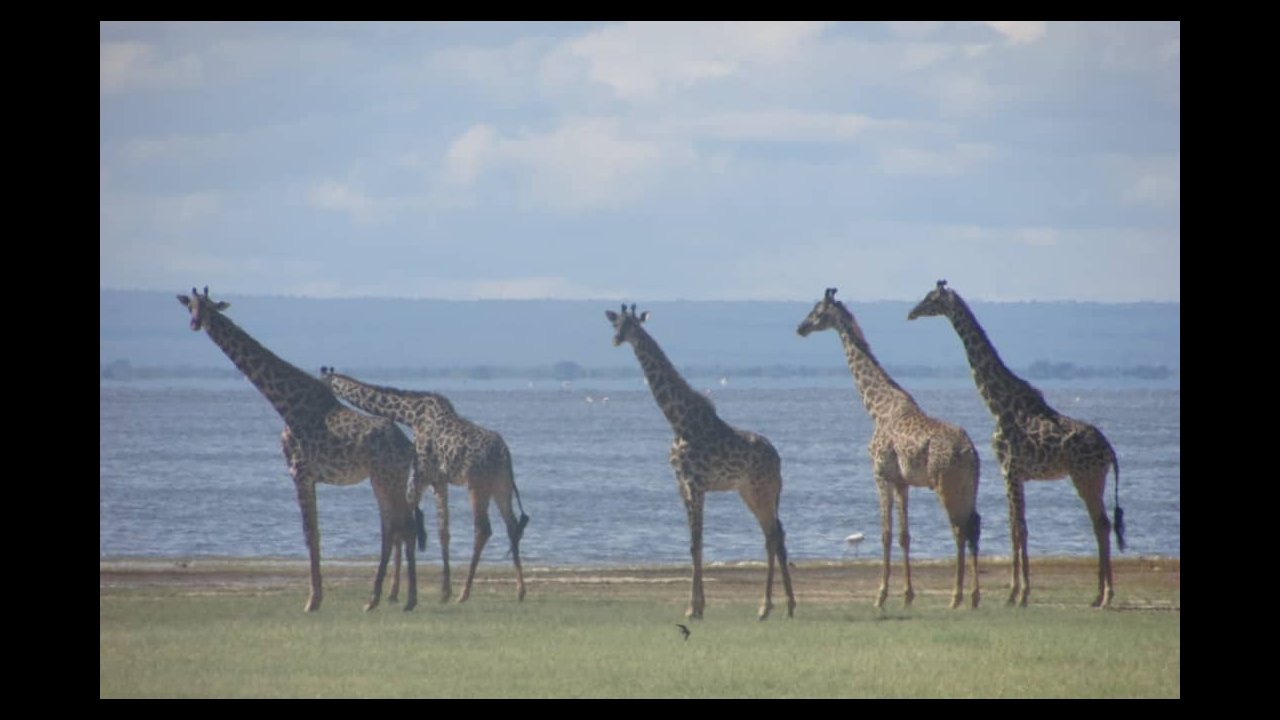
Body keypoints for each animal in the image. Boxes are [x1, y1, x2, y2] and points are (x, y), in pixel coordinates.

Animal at [177, 287, 421, 613]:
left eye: (208, 307)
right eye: (190, 306)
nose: (194, 323)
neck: (285, 403)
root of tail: (409, 447)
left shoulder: (299, 471)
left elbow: (309, 534)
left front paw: (312, 600)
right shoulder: (308, 476)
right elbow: (314, 533)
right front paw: (316, 597)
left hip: (387, 478)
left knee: (402, 526)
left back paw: (401, 599)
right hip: (382, 479)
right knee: (393, 527)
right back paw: (380, 599)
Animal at [319, 368, 528, 604]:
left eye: (323, 382)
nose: (326, 410)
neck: (411, 416)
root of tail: (504, 453)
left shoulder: (421, 476)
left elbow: (403, 526)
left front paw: (394, 592)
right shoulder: (439, 480)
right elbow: (443, 531)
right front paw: (444, 591)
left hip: (477, 484)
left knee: (483, 529)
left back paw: (465, 593)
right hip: (501, 485)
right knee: (512, 526)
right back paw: (520, 590)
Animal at [606, 304, 796, 620]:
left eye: (633, 325)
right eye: (616, 323)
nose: (617, 339)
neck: (679, 423)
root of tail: (778, 459)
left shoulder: (695, 484)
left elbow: (696, 543)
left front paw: (693, 608)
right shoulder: (682, 485)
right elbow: (694, 545)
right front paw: (698, 605)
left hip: (762, 490)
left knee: (773, 535)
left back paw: (766, 606)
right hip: (749, 492)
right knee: (775, 534)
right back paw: (786, 606)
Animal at [798, 288, 982, 609]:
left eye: (817, 311)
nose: (801, 327)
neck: (878, 409)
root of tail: (969, 451)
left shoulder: (881, 475)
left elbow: (885, 534)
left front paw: (880, 595)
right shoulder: (902, 482)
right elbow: (904, 535)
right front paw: (907, 595)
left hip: (945, 484)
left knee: (959, 529)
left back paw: (956, 597)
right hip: (968, 486)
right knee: (973, 527)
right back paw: (974, 596)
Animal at [908, 280, 1126, 608]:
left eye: (931, 298)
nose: (912, 312)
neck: (998, 405)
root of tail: (1110, 451)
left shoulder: (1010, 470)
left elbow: (1018, 529)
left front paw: (1018, 594)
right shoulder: (1013, 474)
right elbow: (1016, 527)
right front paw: (1017, 592)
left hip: (1086, 477)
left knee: (1101, 524)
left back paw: (1106, 595)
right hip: (1089, 478)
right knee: (1100, 524)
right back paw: (1098, 594)